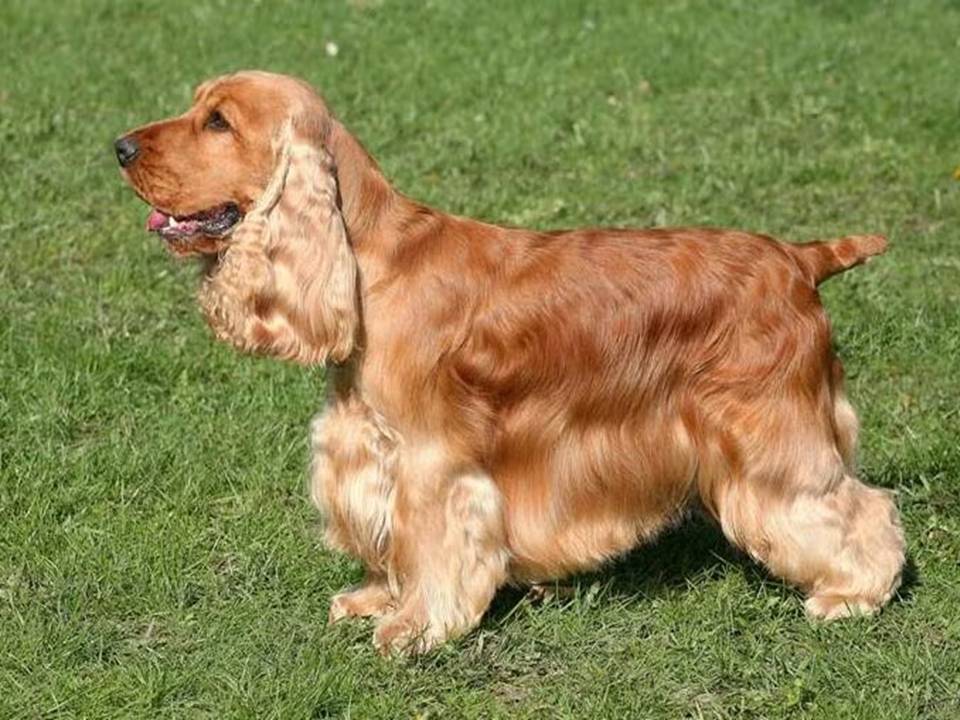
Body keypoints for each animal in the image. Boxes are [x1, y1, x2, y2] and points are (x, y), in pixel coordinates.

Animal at [114, 70, 908, 656]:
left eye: (218, 122)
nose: (120, 146)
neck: (369, 264)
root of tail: (799, 259)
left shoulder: (433, 461)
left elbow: (433, 545)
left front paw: (413, 628)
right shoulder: (366, 447)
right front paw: (374, 597)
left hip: (771, 434)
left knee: (858, 507)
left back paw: (852, 595)